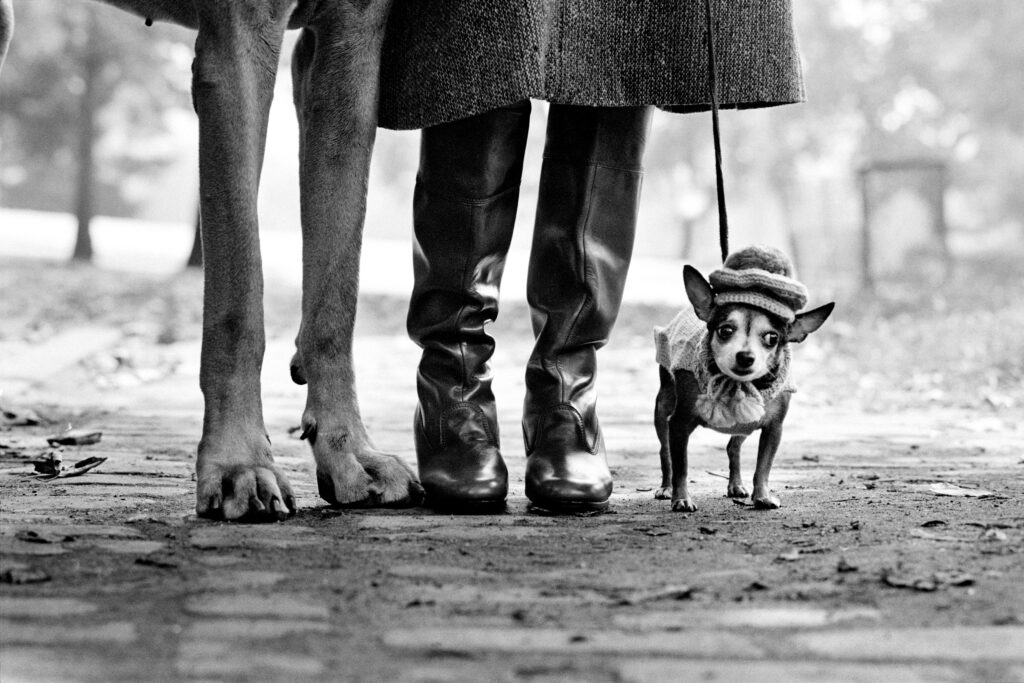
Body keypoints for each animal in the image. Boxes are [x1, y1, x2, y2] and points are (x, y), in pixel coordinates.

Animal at [655, 246, 831, 511]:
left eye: (772, 338)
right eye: (725, 330)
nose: (746, 356)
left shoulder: (773, 429)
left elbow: (763, 467)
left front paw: (762, 496)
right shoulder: (679, 423)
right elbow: (681, 467)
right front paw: (682, 498)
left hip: (743, 426)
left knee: (733, 447)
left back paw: (735, 485)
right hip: (663, 408)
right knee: (665, 453)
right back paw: (666, 488)